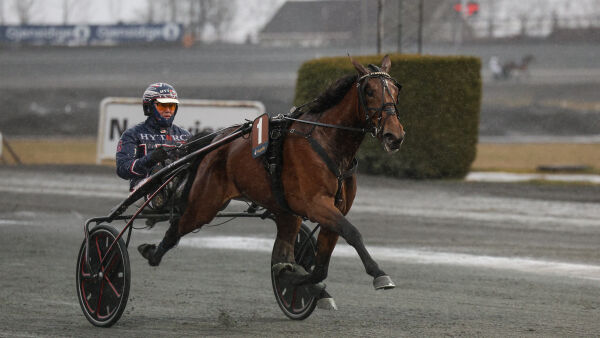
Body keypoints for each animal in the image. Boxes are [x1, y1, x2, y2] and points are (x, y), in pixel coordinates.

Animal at [138, 55, 406, 306]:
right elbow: (352, 233)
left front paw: (296, 279)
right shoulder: (316, 204)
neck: (328, 141)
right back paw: (151, 252)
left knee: (283, 248)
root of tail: (214, 144)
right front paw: (379, 274)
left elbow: (319, 267)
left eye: (395, 89)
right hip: (205, 204)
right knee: (177, 226)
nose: (394, 135)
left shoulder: (335, 208)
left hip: (285, 211)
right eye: (369, 91)